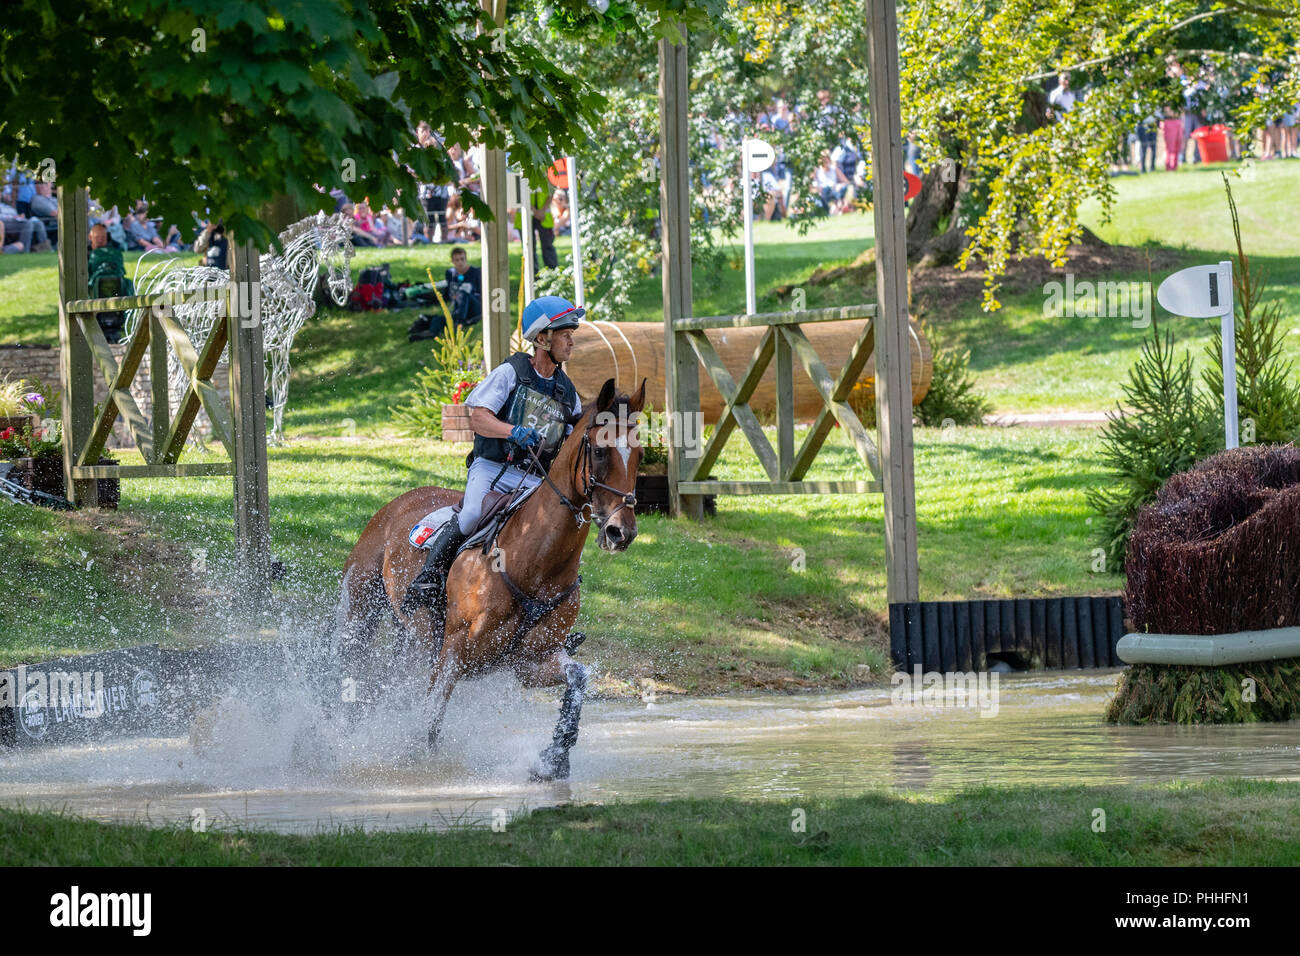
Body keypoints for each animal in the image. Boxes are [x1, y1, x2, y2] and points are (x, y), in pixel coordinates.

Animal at [332, 377, 642, 780]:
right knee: (347, 672)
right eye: (601, 453)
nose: (622, 532)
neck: (535, 564)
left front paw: (555, 757)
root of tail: (396, 503)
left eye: (639, 455)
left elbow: (578, 678)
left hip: (409, 638)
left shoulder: (530, 662)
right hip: (361, 610)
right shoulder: (452, 655)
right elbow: (431, 718)